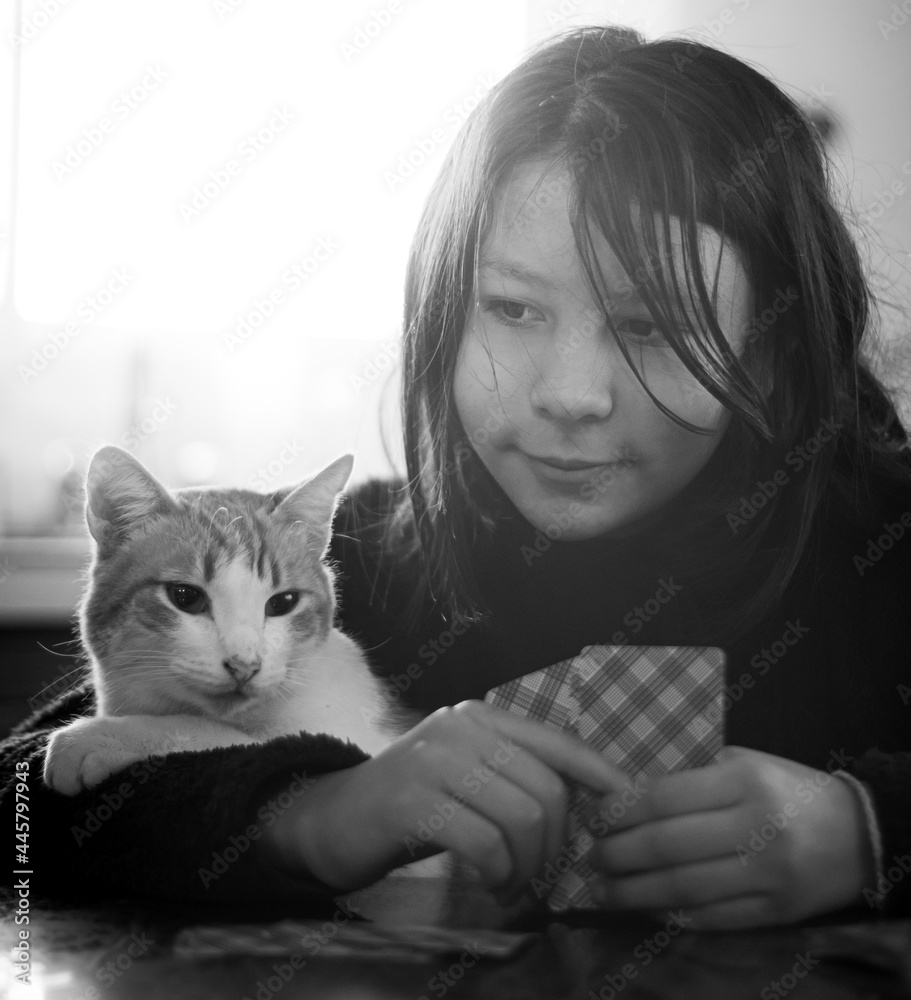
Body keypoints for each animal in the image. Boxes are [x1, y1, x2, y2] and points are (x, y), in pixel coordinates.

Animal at [43, 446, 400, 796]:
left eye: (283, 603)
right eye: (185, 597)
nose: (245, 666)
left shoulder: (354, 739)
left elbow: (229, 736)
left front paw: (106, 736)